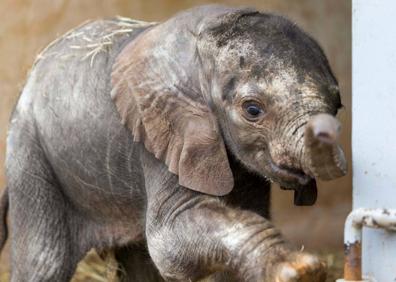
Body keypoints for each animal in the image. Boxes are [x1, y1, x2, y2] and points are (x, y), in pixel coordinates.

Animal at [1, 4, 344, 282]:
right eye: (252, 110)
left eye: (338, 103)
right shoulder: (161, 132)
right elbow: (170, 239)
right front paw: (302, 269)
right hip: (30, 153)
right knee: (44, 263)